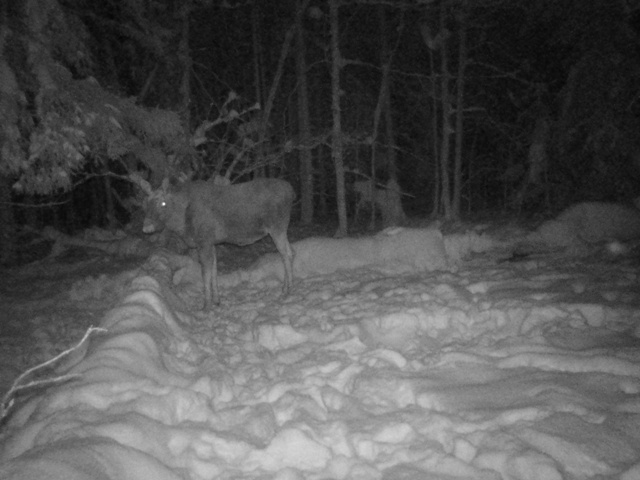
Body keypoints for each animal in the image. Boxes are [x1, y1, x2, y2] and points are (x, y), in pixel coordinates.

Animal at [131, 174, 295, 310]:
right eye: (146, 203)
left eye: (163, 203)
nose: (147, 227)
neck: (182, 223)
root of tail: (291, 190)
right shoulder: (212, 242)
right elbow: (214, 270)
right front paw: (217, 300)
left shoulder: (204, 240)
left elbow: (205, 273)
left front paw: (206, 304)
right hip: (280, 229)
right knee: (290, 251)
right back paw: (286, 287)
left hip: (277, 227)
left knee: (286, 254)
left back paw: (288, 290)